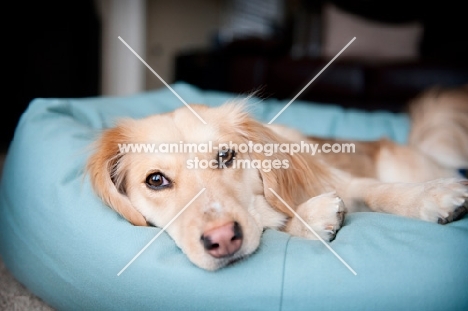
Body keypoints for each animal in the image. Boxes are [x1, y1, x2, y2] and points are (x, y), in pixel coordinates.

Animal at [85, 85, 468, 270]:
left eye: (225, 156)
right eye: (156, 180)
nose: (223, 240)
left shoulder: (347, 182)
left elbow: (379, 192)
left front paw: (430, 197)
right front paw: (310, 218)